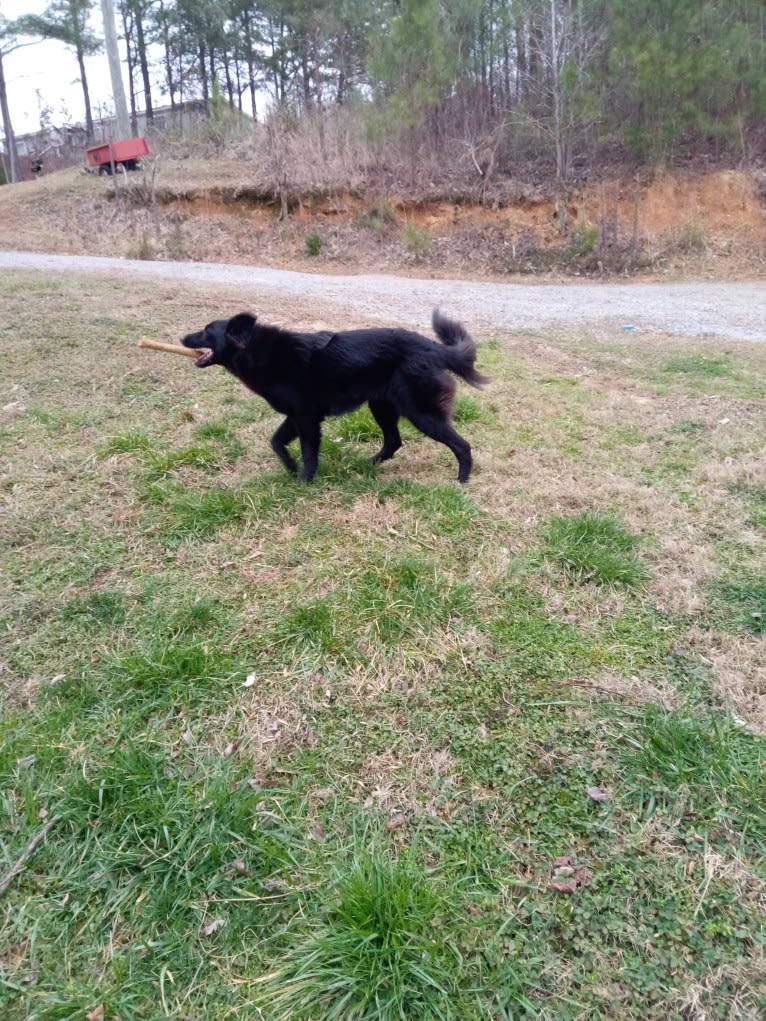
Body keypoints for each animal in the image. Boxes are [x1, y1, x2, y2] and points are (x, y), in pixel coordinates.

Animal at [182, 308, 488, 483]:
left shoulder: (306, 419)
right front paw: (290, 467)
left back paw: (461, 480)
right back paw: (367, 465)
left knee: (462, 445)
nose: (181, 338)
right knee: (393, 441)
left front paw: (304, 480)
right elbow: (276, 442)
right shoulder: (297, 416)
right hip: (382, 407)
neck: (260, 352)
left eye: (207, 330)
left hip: (420, 412)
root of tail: (433, 348)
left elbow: (308, 452)